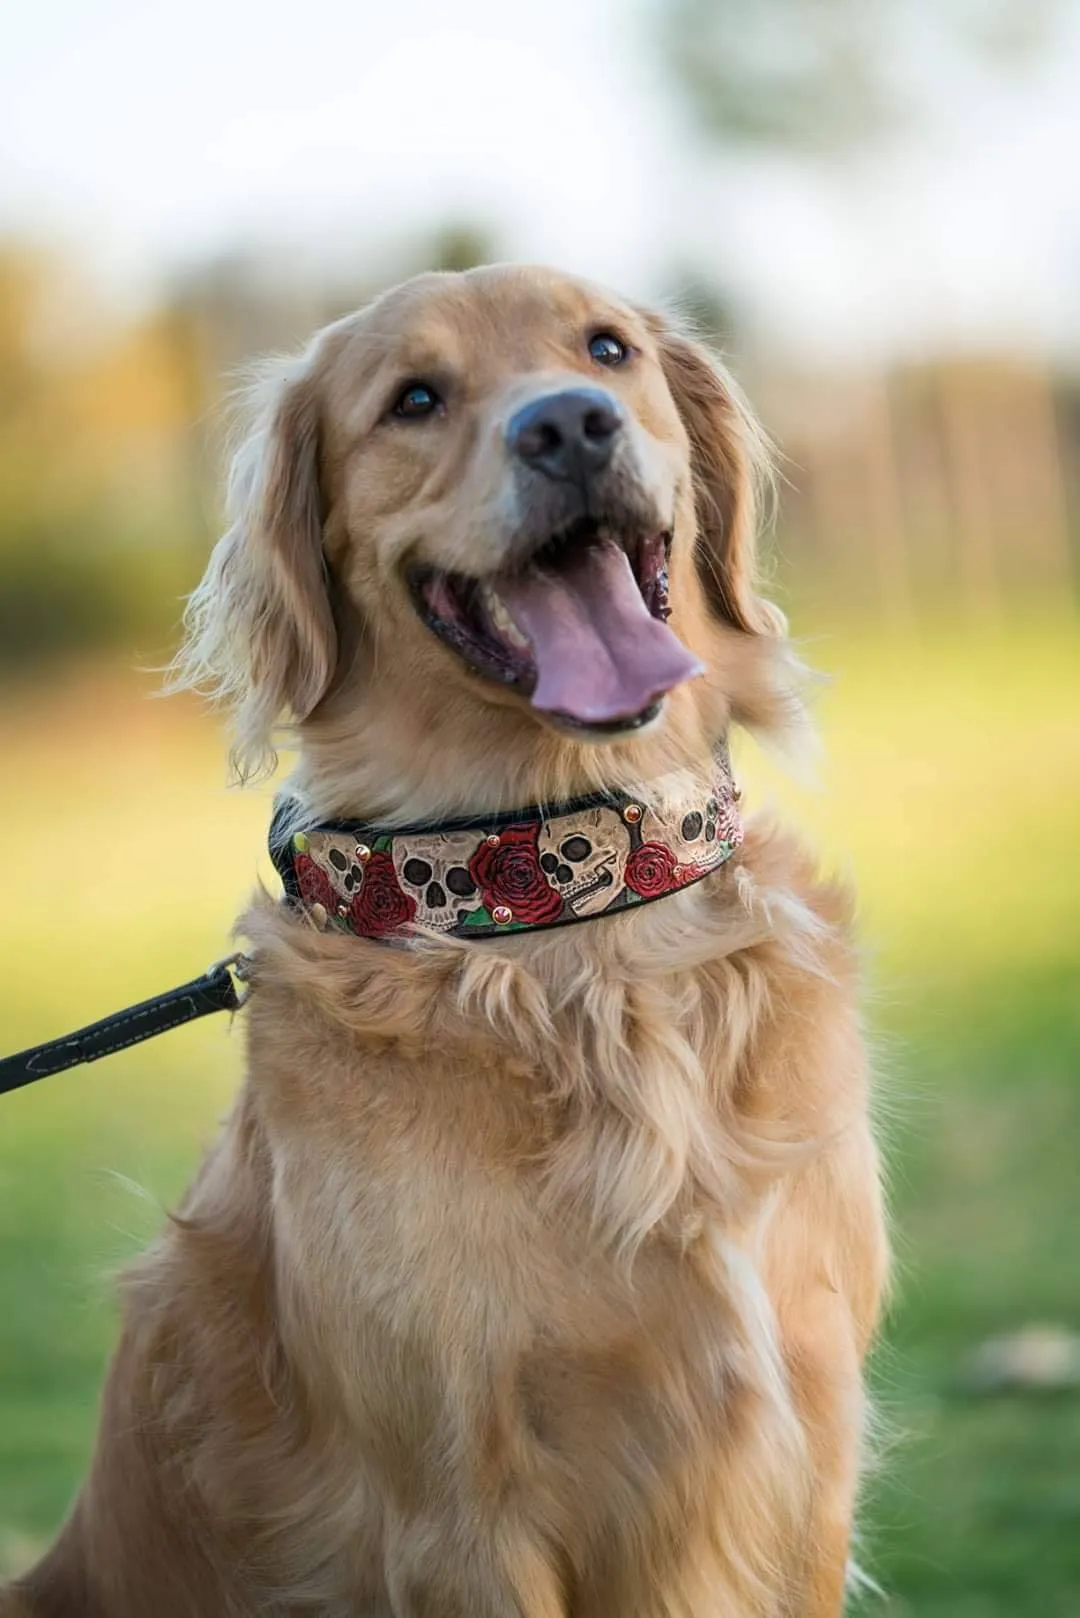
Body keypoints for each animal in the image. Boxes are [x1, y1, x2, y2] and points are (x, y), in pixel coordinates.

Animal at [4, 268, 893, 1618]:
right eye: (413, 400)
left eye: (608, 350)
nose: (570, 425)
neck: (559, 904)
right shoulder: (457, 1511)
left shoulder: (811, 1448)